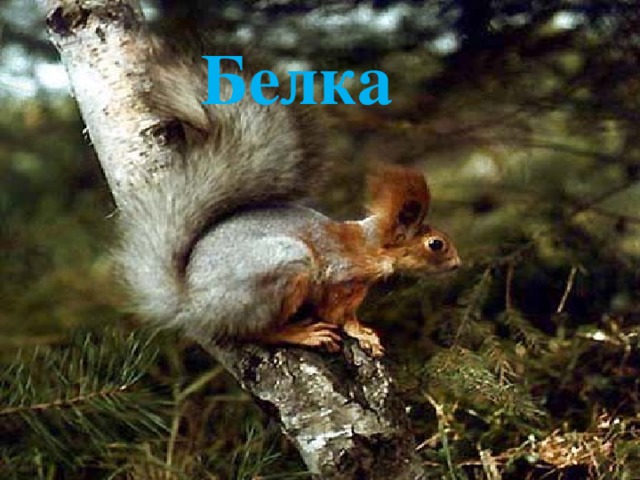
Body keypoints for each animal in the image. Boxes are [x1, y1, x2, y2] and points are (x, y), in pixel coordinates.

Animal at [117, 37, 460, 357]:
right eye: (436, 244)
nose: (458, 264)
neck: (369, 245)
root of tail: (193, 305)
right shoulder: (341, 280)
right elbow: (339, 316)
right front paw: (360, 332)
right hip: (284, 268)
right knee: (259, 332)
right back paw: (303, 334)